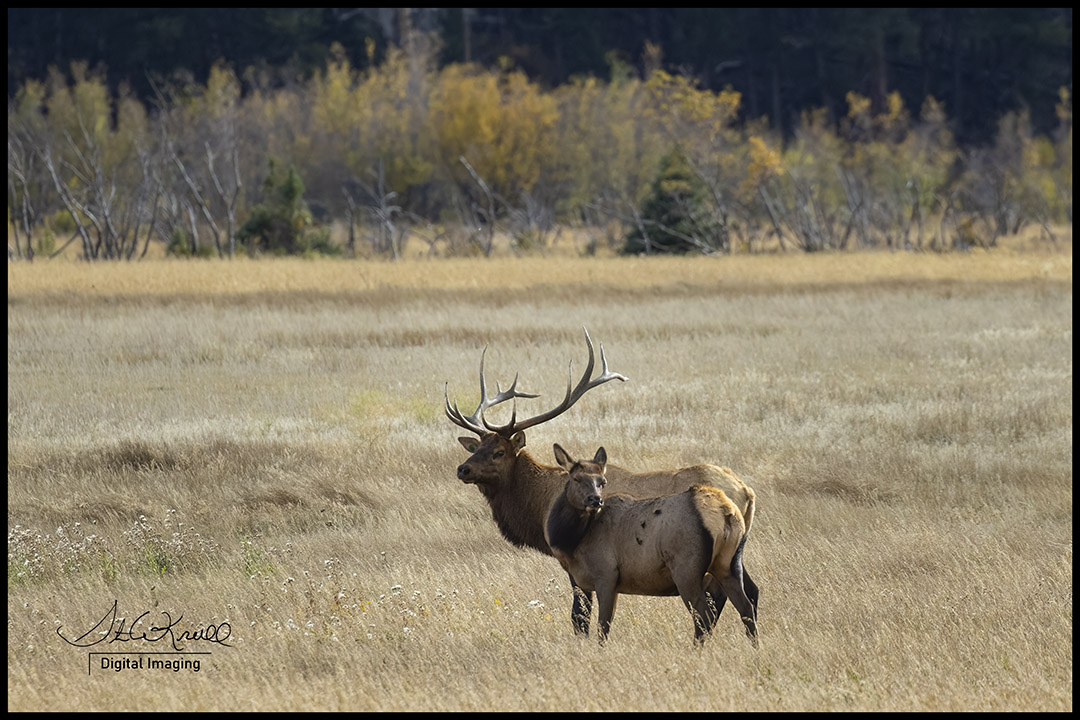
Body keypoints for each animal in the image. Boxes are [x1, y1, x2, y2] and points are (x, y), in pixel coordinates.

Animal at [547, 444, 758, 647]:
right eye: (576, 478)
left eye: (602, 481)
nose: (595, 500)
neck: (573, 542)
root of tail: (726, 513)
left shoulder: (606, 576)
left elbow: (602, 627)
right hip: (728, 564)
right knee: (746, 606)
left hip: (687, 571)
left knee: (704, 616)